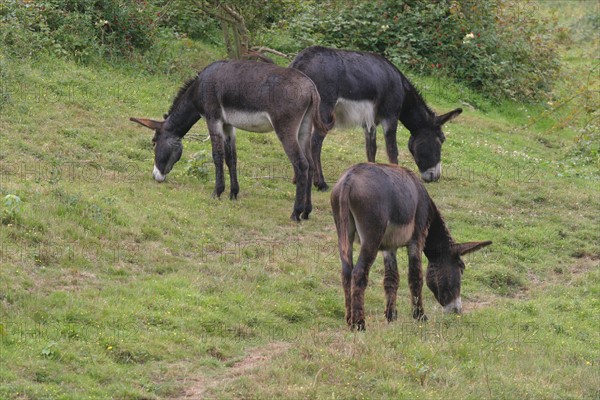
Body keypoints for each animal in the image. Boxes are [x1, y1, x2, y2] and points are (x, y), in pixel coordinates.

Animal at [328, 163, 492, 332]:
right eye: (461, 268)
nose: (457, 311)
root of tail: (349, 179)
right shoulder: (417, 240)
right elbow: (415, 277)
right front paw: (420, 315)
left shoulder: (389, 247)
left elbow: (391, 279)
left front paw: (391, 316)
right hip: (371, 238)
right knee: (359, 273)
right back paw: (360, 324)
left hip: (344, 234)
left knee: (346, 273)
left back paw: (349, 320)